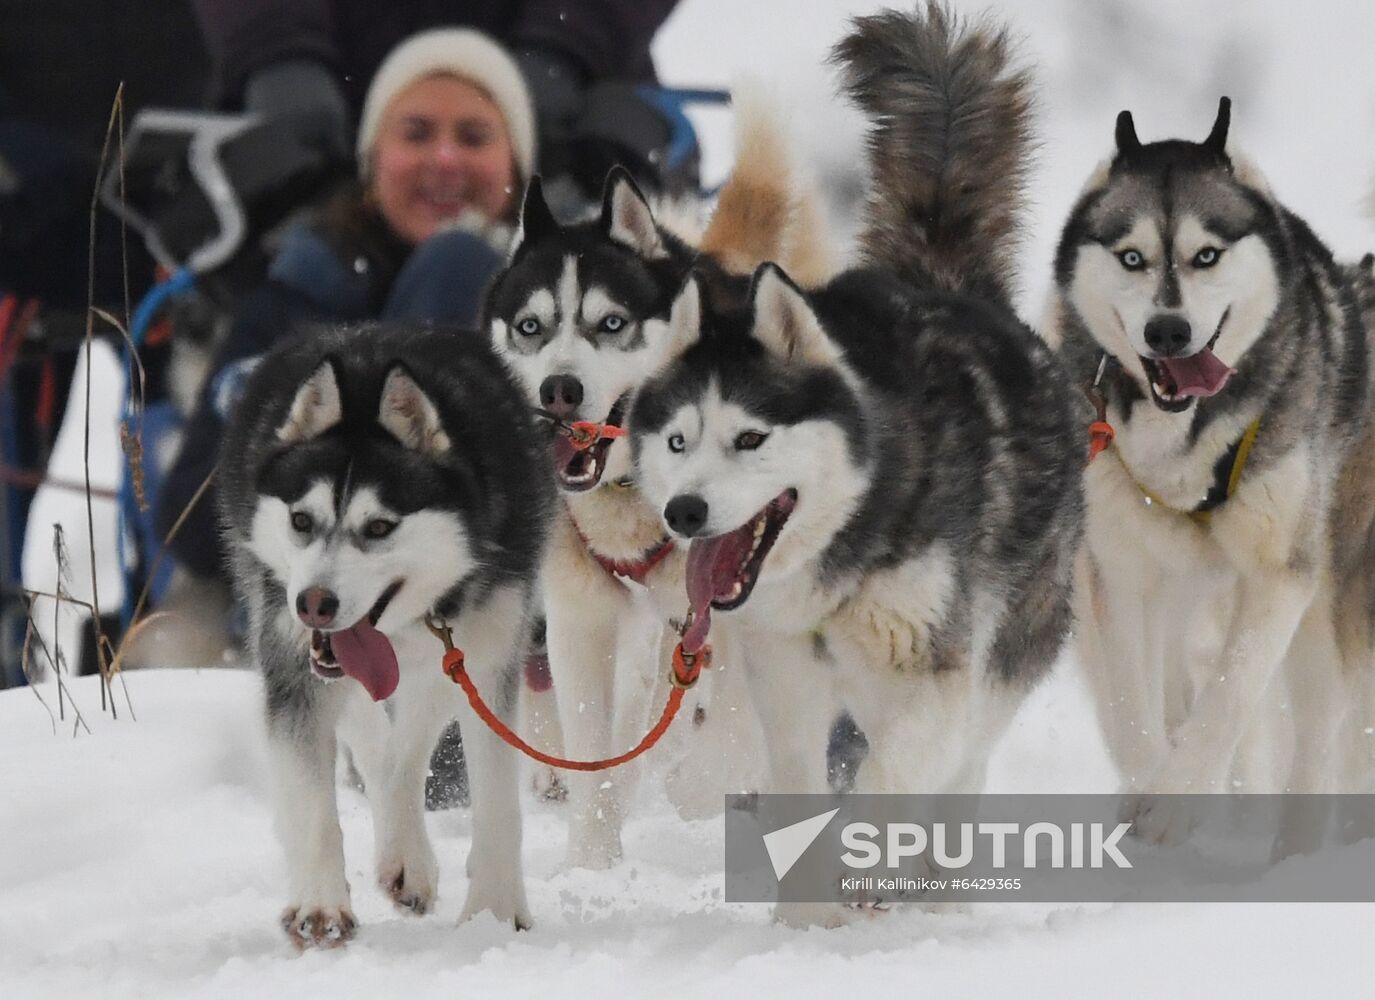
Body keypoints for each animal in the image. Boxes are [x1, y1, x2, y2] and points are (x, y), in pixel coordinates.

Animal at [217, 325, 550, 946]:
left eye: (378, 527)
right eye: (301, 520)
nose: (314, 604)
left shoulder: (484, 655)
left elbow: (494, 800)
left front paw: (493, 914)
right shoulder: (295, 665)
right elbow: (315, 802)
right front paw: (320, 906)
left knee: (403, 746)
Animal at [478, 99, 830, 869]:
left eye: (611, 322)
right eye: (530, 326)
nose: (558, 391)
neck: (630, 497)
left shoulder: (735, 618)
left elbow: (728, 739)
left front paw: (703, 789)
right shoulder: (582, 617)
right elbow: (594, 750)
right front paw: (592, 863)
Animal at [627, 0, 1083, 847]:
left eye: (749, 437)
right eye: (677, 441)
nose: (684, 512)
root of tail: (944, 284)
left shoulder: (934, 683)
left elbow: (886, 781)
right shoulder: (785, 681)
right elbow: (799, 780)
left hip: (1003, 653)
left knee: (963, 767)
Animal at [1039, 99, 1375, 852]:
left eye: (1206, 256)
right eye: (1131, 258)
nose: (1167, 331)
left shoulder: (1279, 575)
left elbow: (1229, 695)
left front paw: (1177, 799)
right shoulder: (1119, 575)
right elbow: (1134, 709)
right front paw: (1148, 787)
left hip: (1322, 607)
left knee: (1313, 734)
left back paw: (1295, 851)